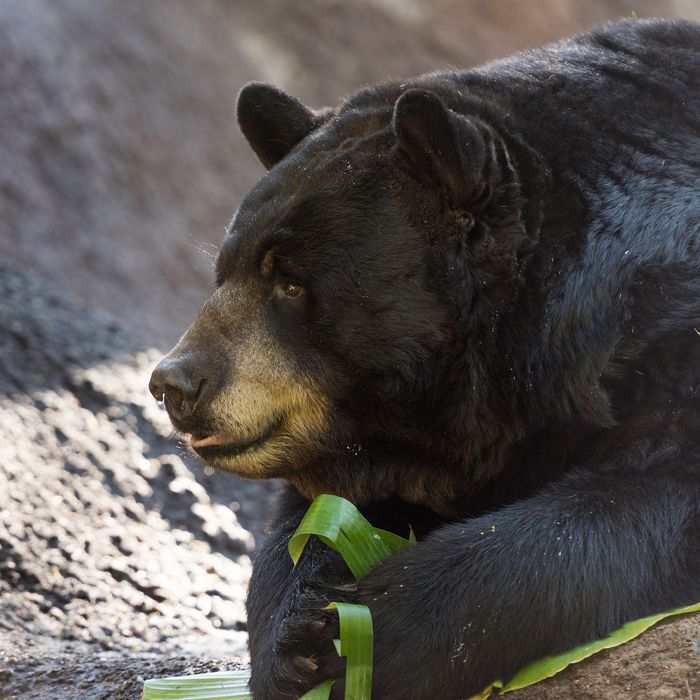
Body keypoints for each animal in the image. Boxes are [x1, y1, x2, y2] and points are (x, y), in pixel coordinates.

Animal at [149, 19, 700, 700]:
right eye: (224, 272)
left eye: (292, 283)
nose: (175, 383)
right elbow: (309, 517)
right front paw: (297, 629)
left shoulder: (669, 332)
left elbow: (637, 502)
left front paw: (368, 631)